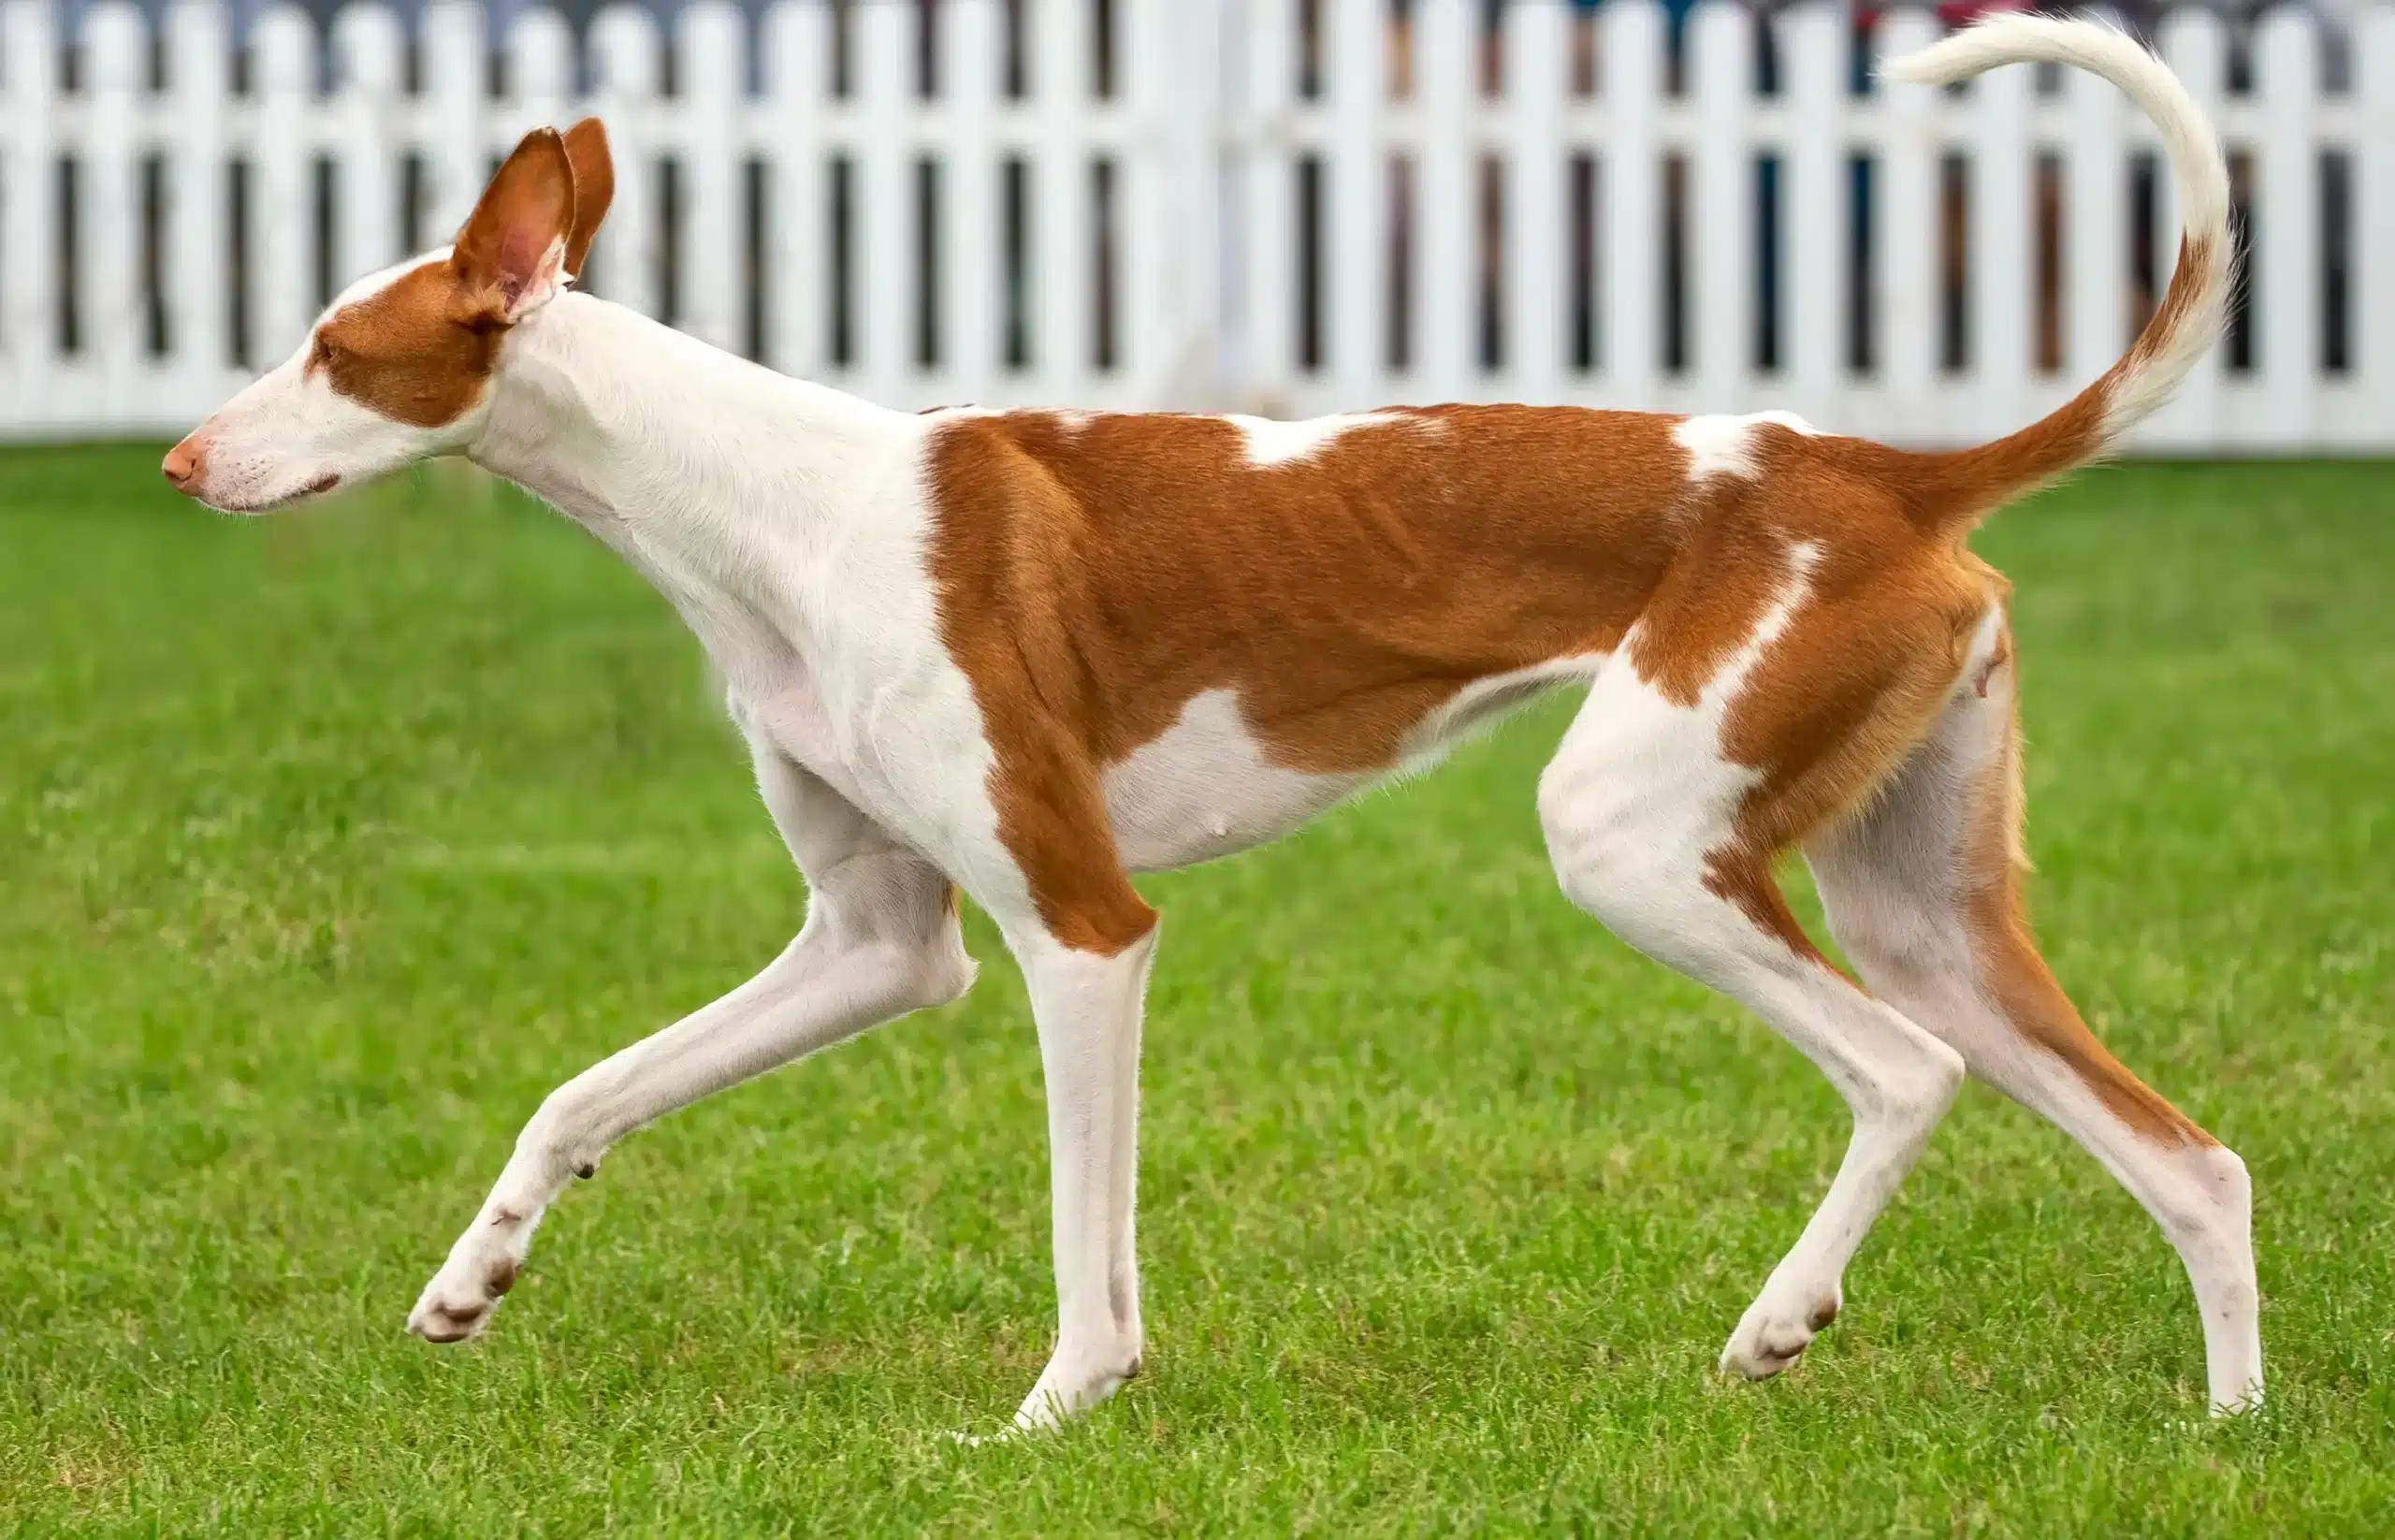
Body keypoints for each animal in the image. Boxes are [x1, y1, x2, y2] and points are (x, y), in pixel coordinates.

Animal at [164, 18, 2260, 1427]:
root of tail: (1883, 471)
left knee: (1905, 1071)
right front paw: (473, 1279)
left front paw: (1050, 1417)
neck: (761, 504)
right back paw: (2230, 1426)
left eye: (333, 351)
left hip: (1638, 842)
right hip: (1919, 897)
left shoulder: (1082, 930)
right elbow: (583, 1091)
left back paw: (1776, 1322)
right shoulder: (875, 946)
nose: (181, 461)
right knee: (2191, 1159)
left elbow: (1087, 1256)